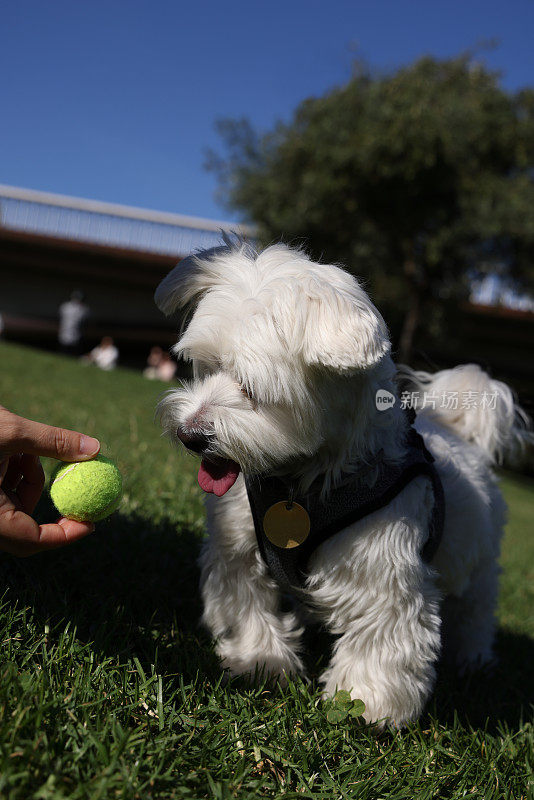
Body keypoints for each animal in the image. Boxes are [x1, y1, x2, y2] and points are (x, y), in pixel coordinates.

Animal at [155, 238, 532, 724]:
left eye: (250, 388)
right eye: (206, 366)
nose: (190, 434)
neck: (300, 483)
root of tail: (457, 430)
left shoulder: (382, 567)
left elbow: (382, 636)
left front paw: (366, 703)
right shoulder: (236, 546)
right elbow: (247, 604)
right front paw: (259, 661)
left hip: (478, 564)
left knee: (474, 613)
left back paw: (473, 661)